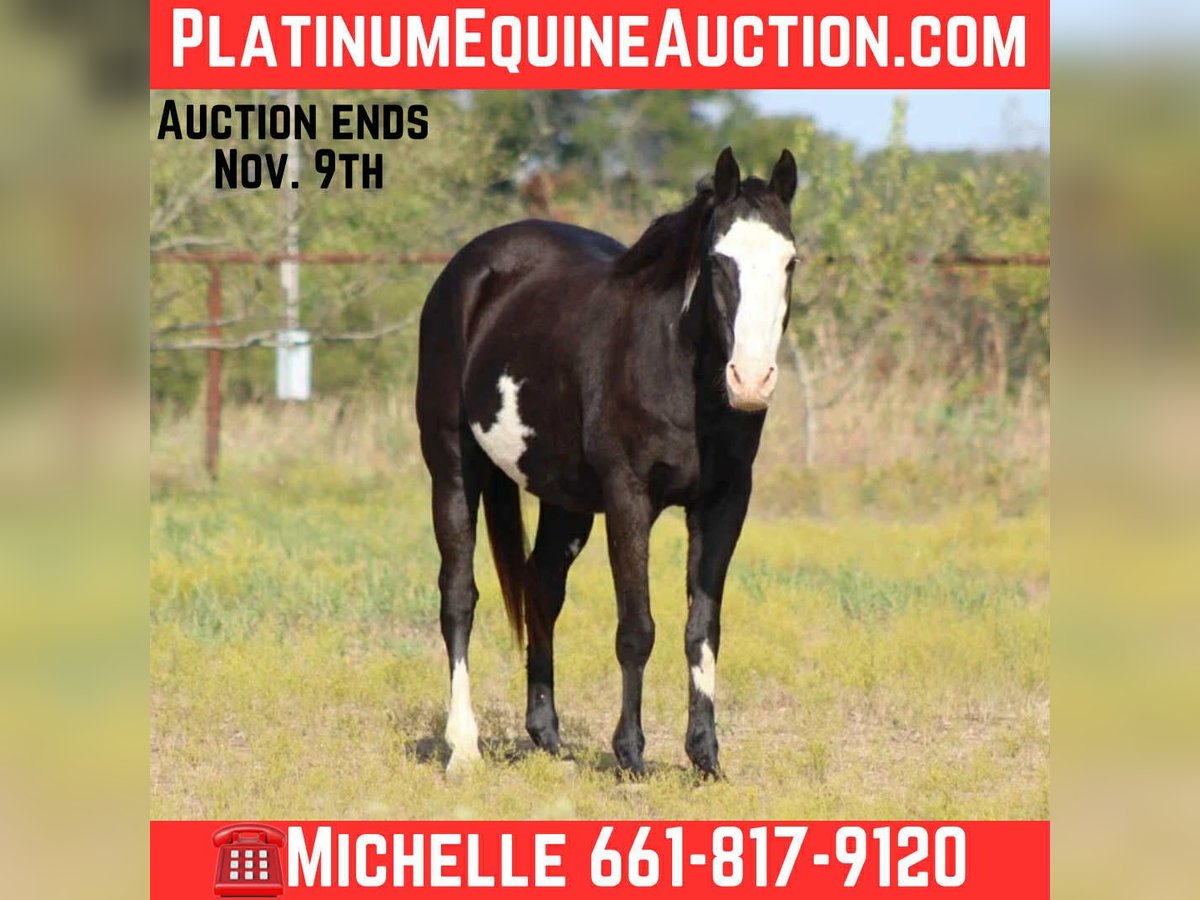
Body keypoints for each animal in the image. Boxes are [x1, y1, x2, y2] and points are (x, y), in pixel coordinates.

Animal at [416, 147, 798, 776]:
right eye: (718, 262)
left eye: (790, 262)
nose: (751, 380)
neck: (674, 364)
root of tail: (471, 267)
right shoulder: (628, 498)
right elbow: (636, 629)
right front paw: (631, 756)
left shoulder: (723, 503)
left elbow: (703, 628)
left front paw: (706, 758)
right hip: (450, 467)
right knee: (458, 596)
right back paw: (464, 749)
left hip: (564, 498)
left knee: (541, 585)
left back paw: (548, 738)